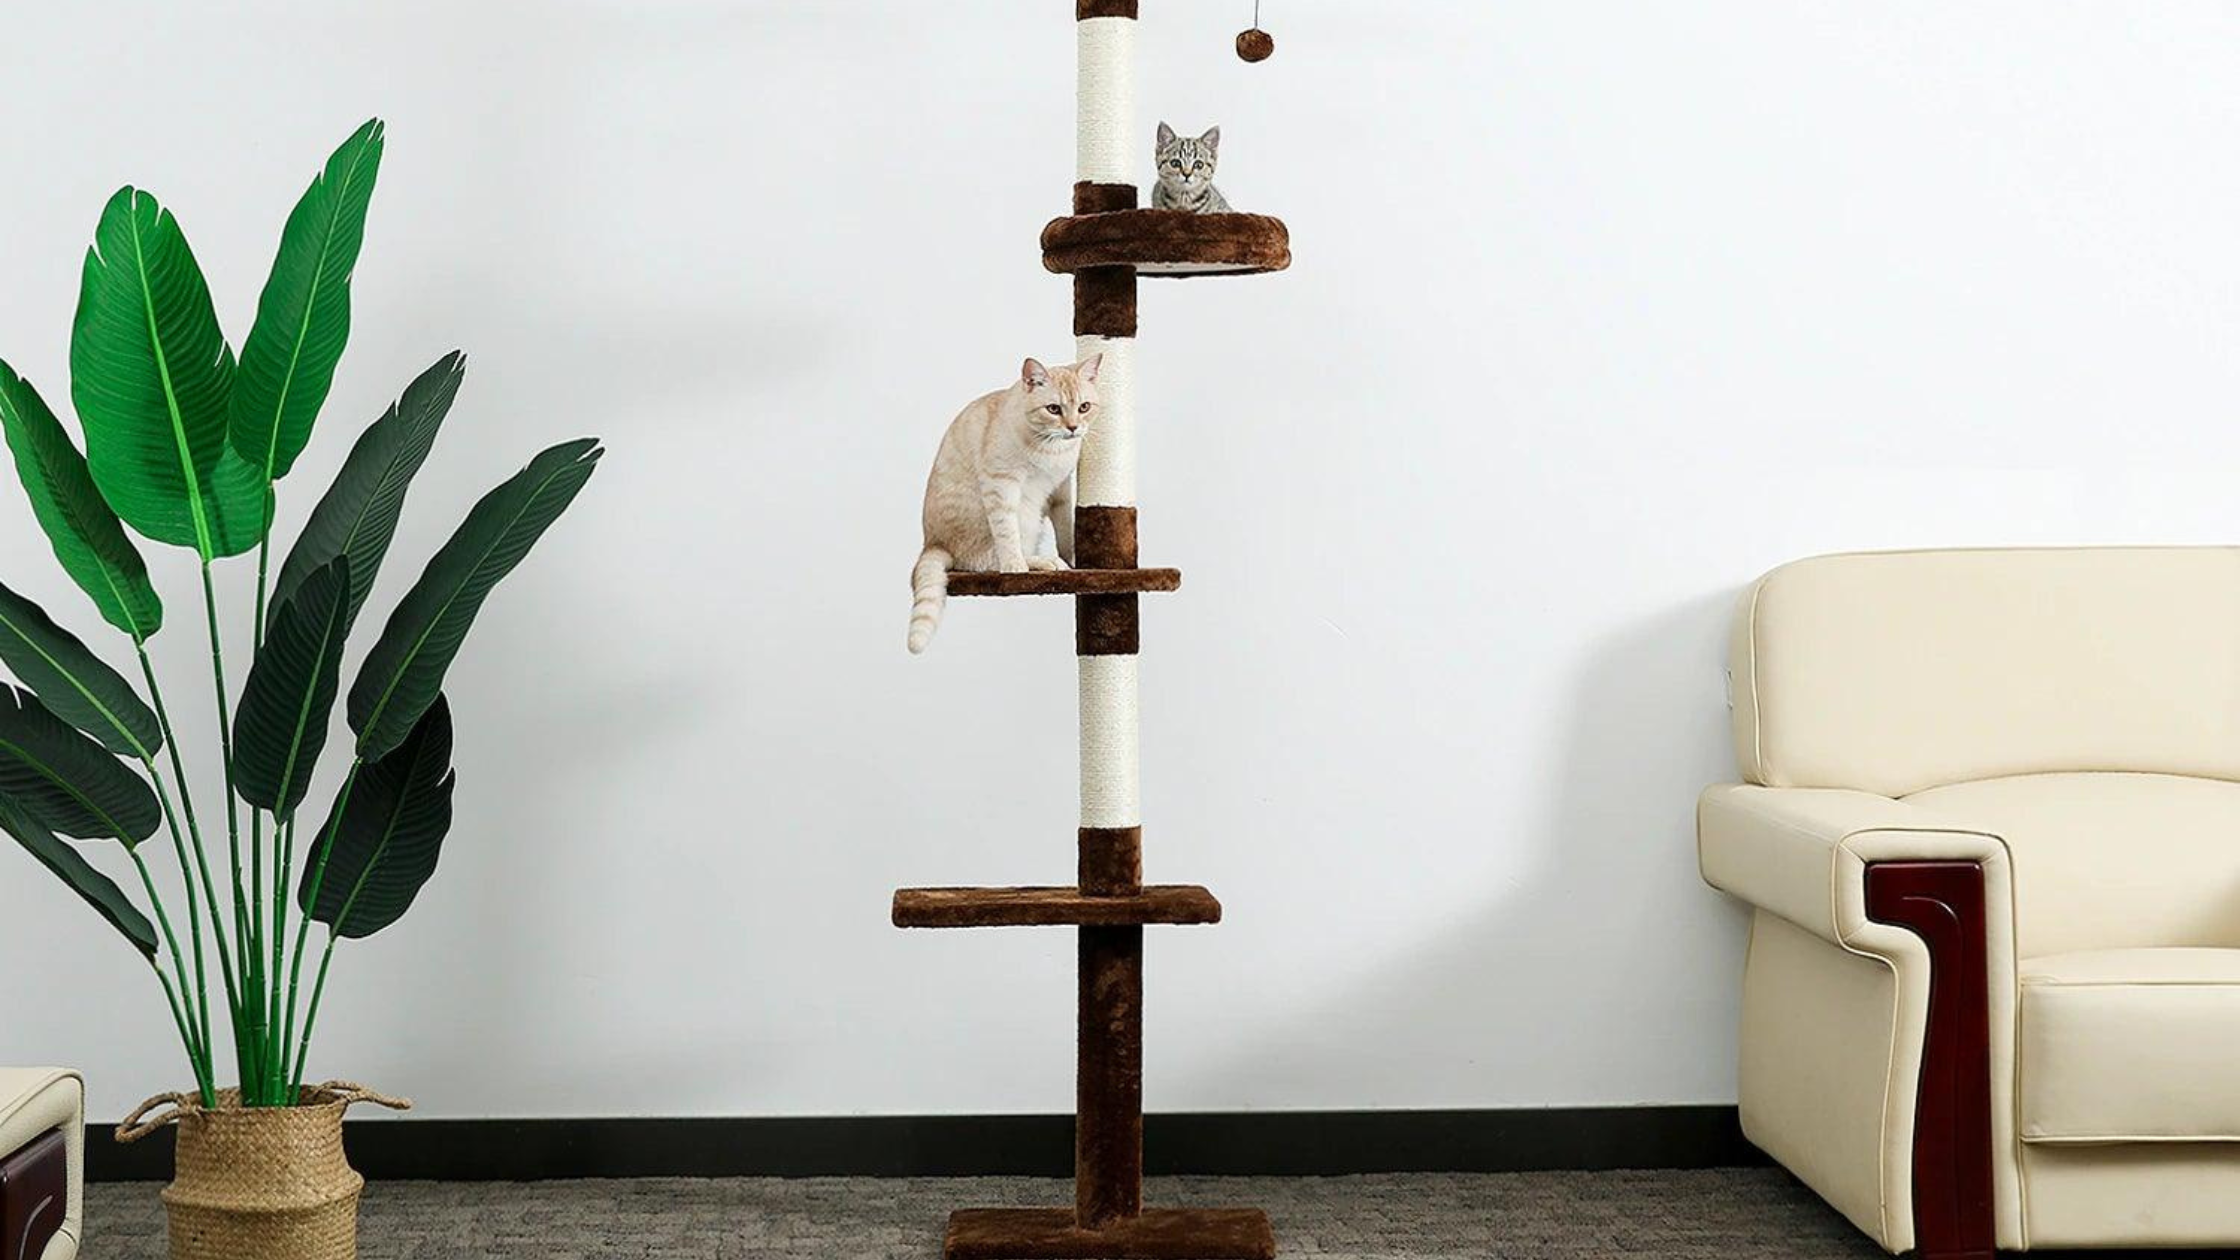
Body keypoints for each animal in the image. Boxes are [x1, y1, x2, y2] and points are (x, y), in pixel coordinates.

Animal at [908, 355, 1102, 654]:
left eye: (1084, 407)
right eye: (1053, 409)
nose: (1072, 428)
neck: (1053, 449)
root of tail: (934, 543)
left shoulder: (1060, 488)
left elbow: (1066, 525)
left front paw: (1075, 558)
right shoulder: (1001, 484)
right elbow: (1007, 534)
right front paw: (1016, 567)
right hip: (1022, 516)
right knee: (990, 560)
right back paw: (1043, 562)